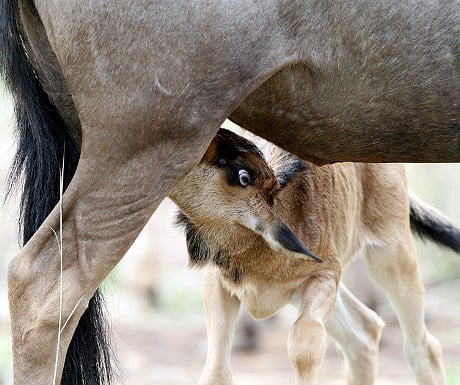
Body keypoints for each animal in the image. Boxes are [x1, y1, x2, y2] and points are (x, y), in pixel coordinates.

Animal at [170, 129, 460, 384]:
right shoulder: (218, 281)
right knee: (363, 332)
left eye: (243, 175)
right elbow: (216, 372)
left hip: (393, 256)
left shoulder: (323, 279)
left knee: (423, 347)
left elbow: (304, 347)